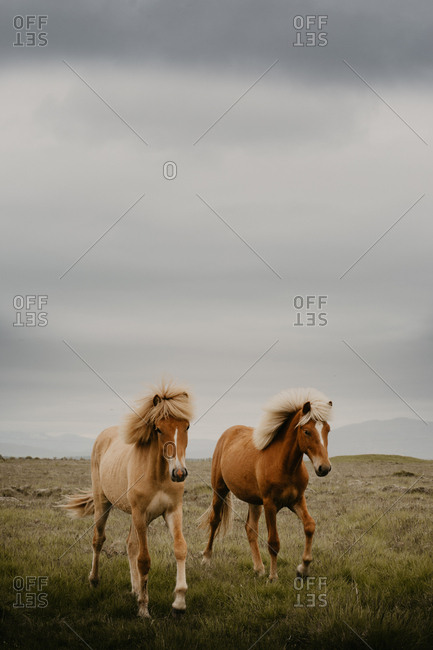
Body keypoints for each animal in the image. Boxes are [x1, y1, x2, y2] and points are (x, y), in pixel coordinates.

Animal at [62, 380, 194, 618]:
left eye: (186, 426)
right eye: (158, 428)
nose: (179, 473)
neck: (158, 474)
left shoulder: (172, 511)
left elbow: (180, 548)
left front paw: (178, 603)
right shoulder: (140, 513)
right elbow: (144, 560)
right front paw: (143, 608)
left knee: (130, 544)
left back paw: (134, 589)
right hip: (103, 505)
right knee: (98, 540)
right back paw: (94, 581)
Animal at [200, 387, 332, 581]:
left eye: (327, 430)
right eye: (307, 431)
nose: (324, 468)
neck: (285, 465)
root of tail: (228, 433)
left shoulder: (297, 500)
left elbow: (309, 526)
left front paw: (303, 568)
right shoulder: (270, 504)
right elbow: (273, 542)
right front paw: (273, 577)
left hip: (254, 501)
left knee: (250, 529)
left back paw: (259, 568)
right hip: (220, 491)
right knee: (215, 520)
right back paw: (207, 558)